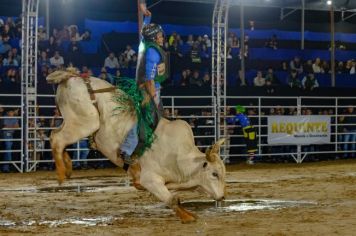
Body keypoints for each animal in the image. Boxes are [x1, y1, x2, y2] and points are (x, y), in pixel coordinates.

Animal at [46, 68, 225, 223]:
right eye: (214, 173)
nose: (223, 197)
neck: (179, 158)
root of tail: (73, 76)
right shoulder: (150, 179)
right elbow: (172, 199)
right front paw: (187, 217)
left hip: (75, 122)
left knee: (56, 134)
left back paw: (67, 167)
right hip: (86, 122)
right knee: (57, 139)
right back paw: (61, 173)